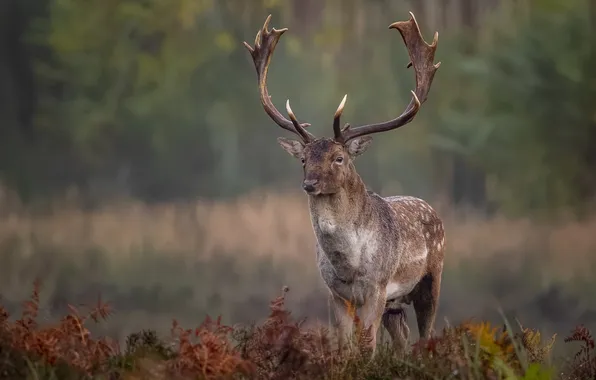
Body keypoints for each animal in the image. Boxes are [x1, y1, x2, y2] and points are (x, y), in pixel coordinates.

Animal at [244, 12, 444, 356]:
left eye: (339, 158)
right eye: (303, 158)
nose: (310, 183)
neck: (349, 265)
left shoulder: (377, 286)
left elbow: (367, 344)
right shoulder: (335, 292)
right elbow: (344, 345)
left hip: (431, 278)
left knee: (425, 335)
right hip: (395, 303)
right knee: (402, 337)